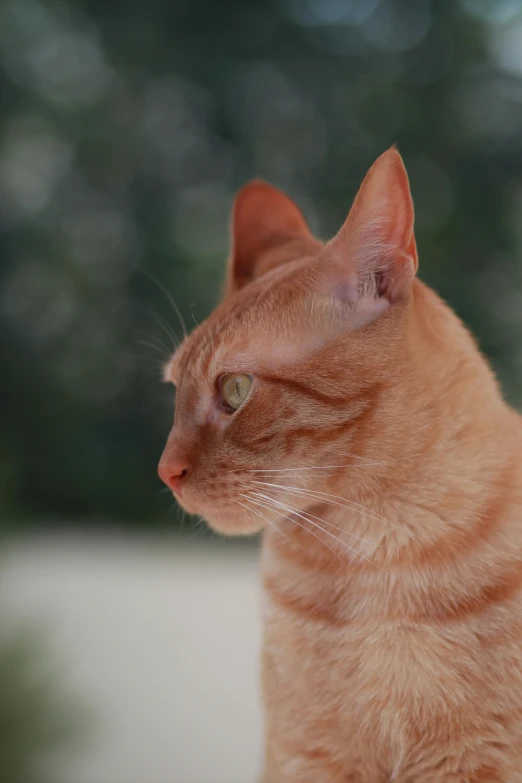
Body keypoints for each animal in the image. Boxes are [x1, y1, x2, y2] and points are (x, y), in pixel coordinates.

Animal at [156, 149, 520, 783]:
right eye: (176, 391)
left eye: (235, 389)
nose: (165, 470)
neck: (382, 557)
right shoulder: (306, 759)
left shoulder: (475, 762)